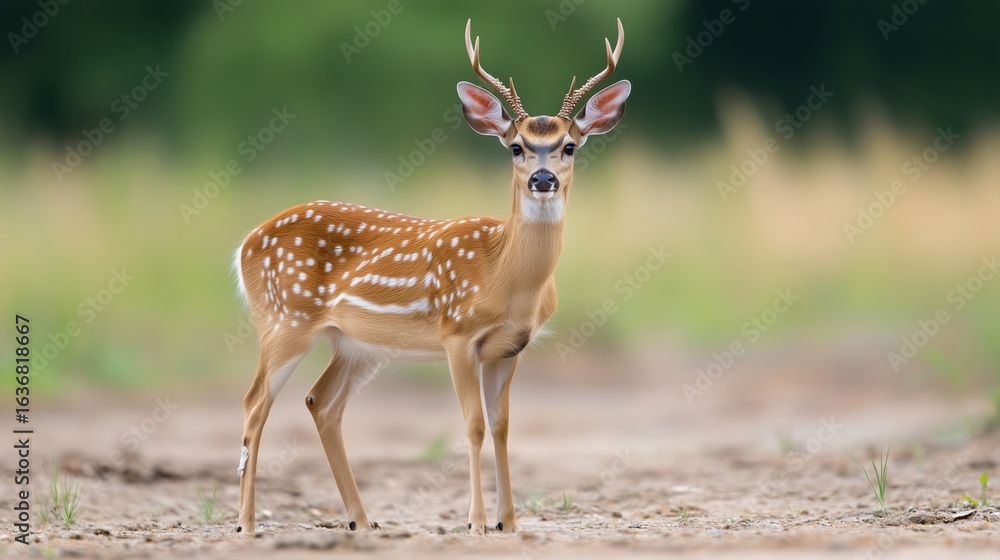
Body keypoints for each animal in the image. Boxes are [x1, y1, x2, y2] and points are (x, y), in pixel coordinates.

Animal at [233, 18, 629, 535]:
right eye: (516, 147)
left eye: (569, 146)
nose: (542, 180)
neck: (504, 275)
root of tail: (244, 244)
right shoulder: (457, 333)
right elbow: (473, 425)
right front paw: (477, 522)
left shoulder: (510, 347)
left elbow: (502, 427)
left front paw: (509, 523)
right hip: (285, 319)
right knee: (255, 402)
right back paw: (246, 523)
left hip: (355, 345)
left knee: (322, 402)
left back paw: (362, 520)